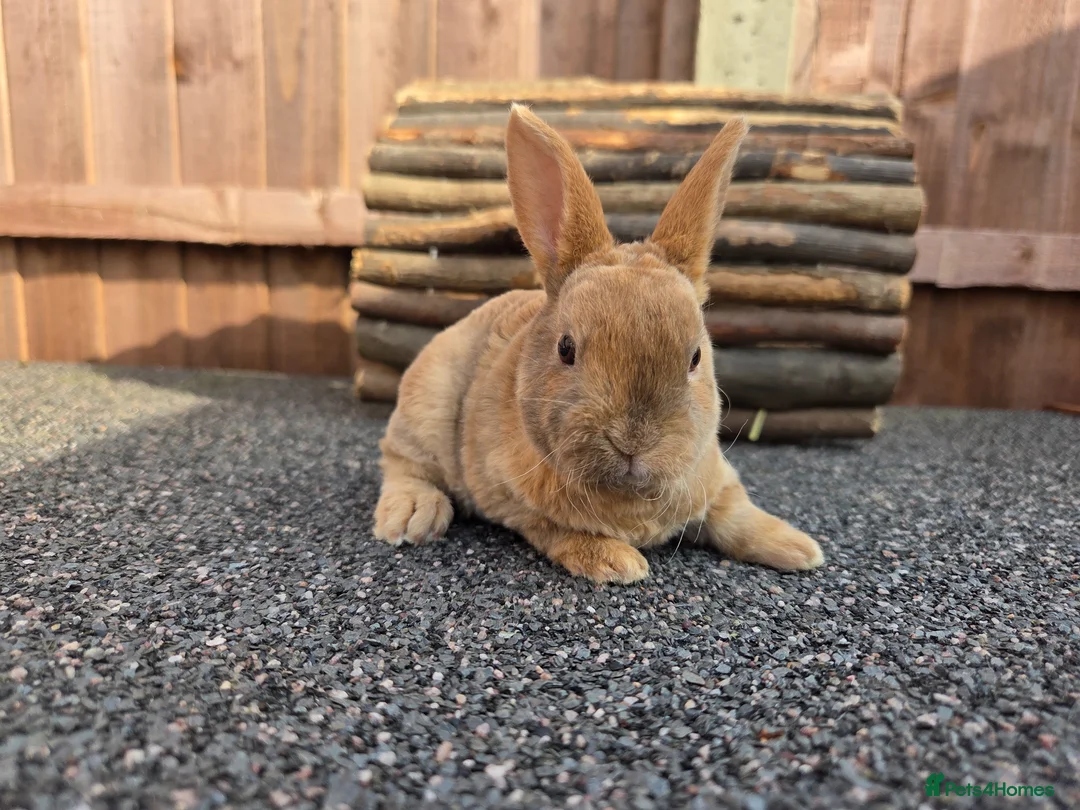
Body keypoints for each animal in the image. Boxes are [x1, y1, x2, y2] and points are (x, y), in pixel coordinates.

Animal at [371, 104, 824, 584]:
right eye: (566, 348)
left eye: (696, 357)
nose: (632, 441)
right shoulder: (516, 504)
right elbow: (558, 531)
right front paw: (618, 562)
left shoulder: (716, 480)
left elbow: (736, 515)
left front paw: (798, 548)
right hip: (426, 407)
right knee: (402, 463)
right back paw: (412, 517)